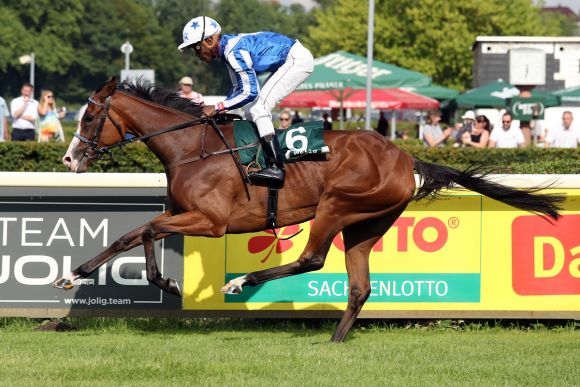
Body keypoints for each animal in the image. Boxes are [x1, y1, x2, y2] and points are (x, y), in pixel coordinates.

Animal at [54, 78, 560, 342]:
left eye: (88, 116)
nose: (69, 159)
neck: (190, 148)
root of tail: (405, 157)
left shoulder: (212, 222)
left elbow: (140, 231)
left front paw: (161, 282)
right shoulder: (180, 213)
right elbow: (136, 233)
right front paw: (81, 275)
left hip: (337, 204)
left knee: (313, 258)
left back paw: (241, 281)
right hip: (366, 225)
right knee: (359, 286)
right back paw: (335, 341)